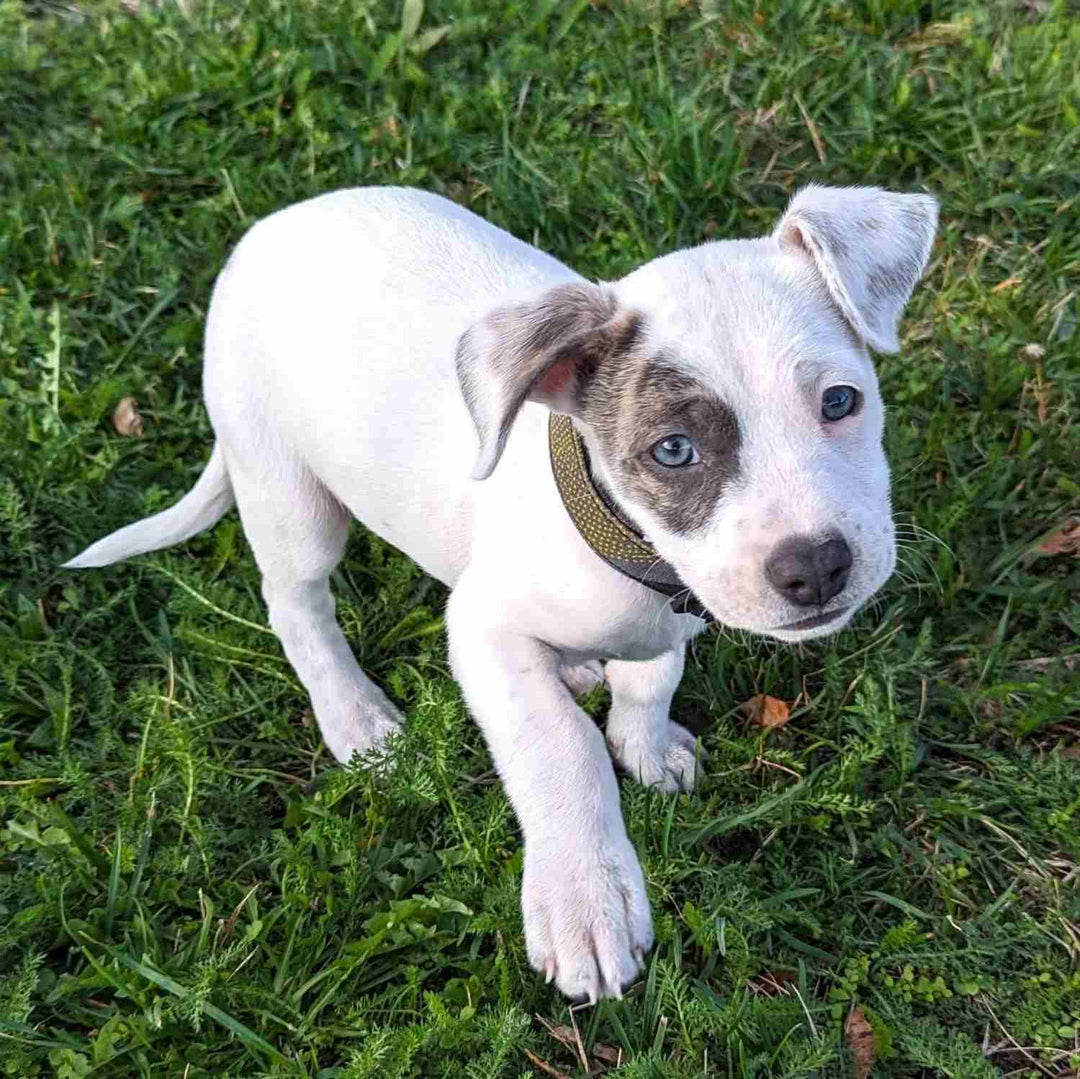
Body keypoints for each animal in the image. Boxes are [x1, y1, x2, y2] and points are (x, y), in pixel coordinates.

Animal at [67, 185, 937, 1002]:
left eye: (840, 402)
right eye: (674, 450)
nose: (816, 566)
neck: (635, 556)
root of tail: (275, 224)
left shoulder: (673, 613)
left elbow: (651, 679)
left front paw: (645, 741)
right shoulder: (482, 629)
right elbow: (560, 744)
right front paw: (584, 897)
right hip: (286, 488)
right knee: (297, 604)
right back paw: (357, 715)